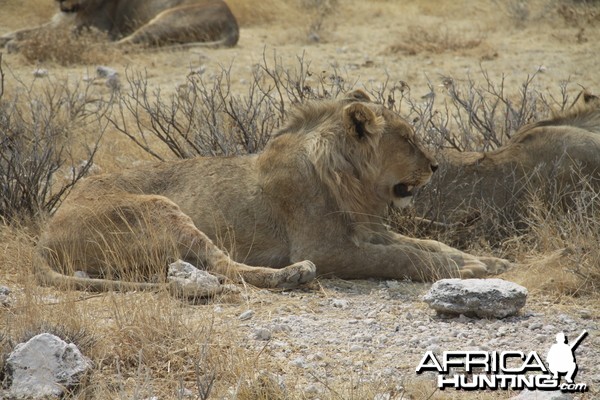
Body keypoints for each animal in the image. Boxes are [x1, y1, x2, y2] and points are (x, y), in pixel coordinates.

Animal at [35, 90, 508, 296]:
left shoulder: (367, 230)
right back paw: (293, 275)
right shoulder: (329, 248)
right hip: (159, 209)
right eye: (408, 138)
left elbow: (424, 243)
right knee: (223, 268)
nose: (435, 166)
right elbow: (400, 257)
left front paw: (484, 261)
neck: (353, 182)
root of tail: (45, 234)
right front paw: (467, 270)